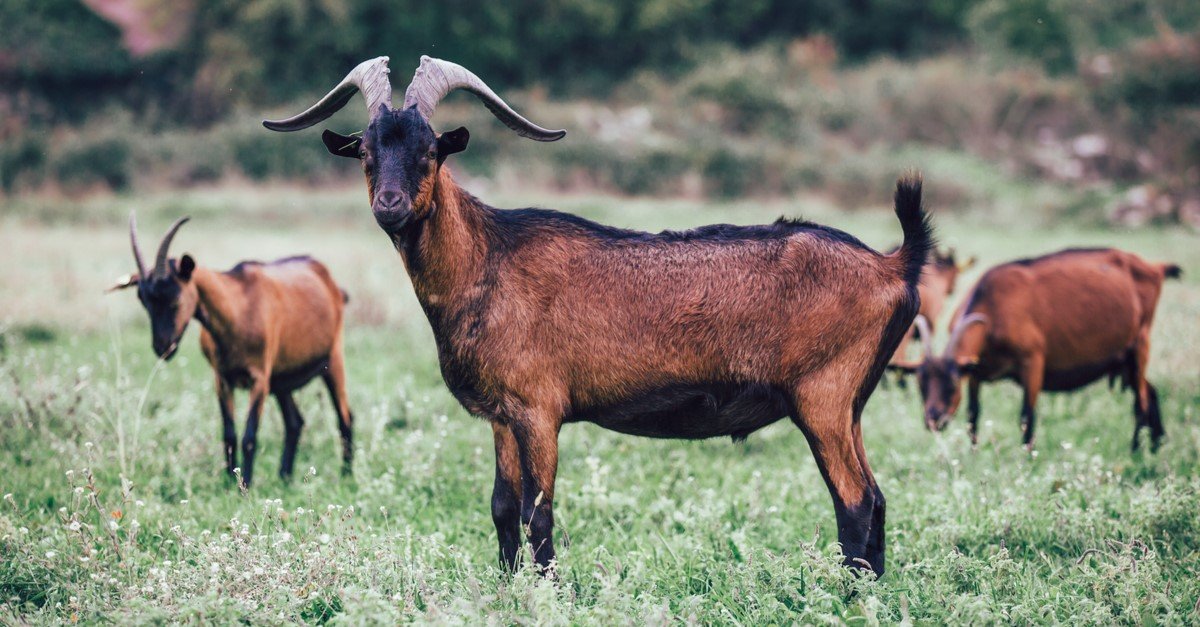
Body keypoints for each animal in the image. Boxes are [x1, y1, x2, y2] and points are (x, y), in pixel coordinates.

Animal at [110, 214, 354, 485]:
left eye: (175, 297)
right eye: (143, 300)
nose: (163, 347)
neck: (238, 308)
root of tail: (330, 282)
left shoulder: (259, 378)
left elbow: (249, 436)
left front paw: (245, 484)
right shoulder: (222, 379)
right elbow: (229, 434)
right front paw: (229, 481)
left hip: (333, 359)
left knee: (345, 416)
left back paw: (346, 475)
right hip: (281, 379)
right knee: (295, 422)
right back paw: (285, 477)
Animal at [262, 55, 933, 576]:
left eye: (430, 151)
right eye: (366, 153)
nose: (391, 205)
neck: (487, 258)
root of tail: (894, 265)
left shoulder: (539, 409)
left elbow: (538, 514)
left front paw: (546, 593)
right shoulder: (502, 415)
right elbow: (501, 508)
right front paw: (507, 588)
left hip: (823, 396)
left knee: (854, 502)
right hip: (851, 406)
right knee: (876, 499)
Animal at [889, 248, 1181, 452]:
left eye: (951, 385)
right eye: (921, 385)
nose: (933, 420)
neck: (994, 306)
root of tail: (1154, 266)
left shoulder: (1033, 363)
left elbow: (1026, 417)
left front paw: (1026, 458)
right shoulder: (975, 372)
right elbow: (973, 415)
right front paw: (973, 454)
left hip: (1140, 345)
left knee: (1140, 401)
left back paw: (1136, 451)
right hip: (1124, 359)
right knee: (1150, 392)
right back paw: (1157, 444)